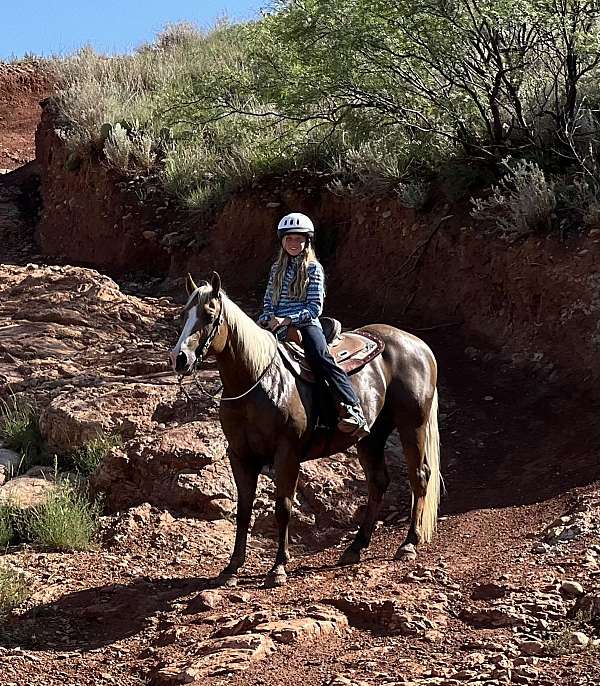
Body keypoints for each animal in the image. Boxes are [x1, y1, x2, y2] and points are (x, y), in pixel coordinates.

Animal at [170, 272, 440, 588]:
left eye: (209, 314)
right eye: (184, 313)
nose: (179, 358)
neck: (258, 379)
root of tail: (418, 344)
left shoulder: (287, 454)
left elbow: (283, 507)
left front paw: (278, 568)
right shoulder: (240, 456)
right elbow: (243, 510)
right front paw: (232, 567)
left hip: (413, 425)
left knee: (419, 476)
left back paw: (408, 544)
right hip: (371, 437)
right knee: (378, 482)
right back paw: (355, 547)